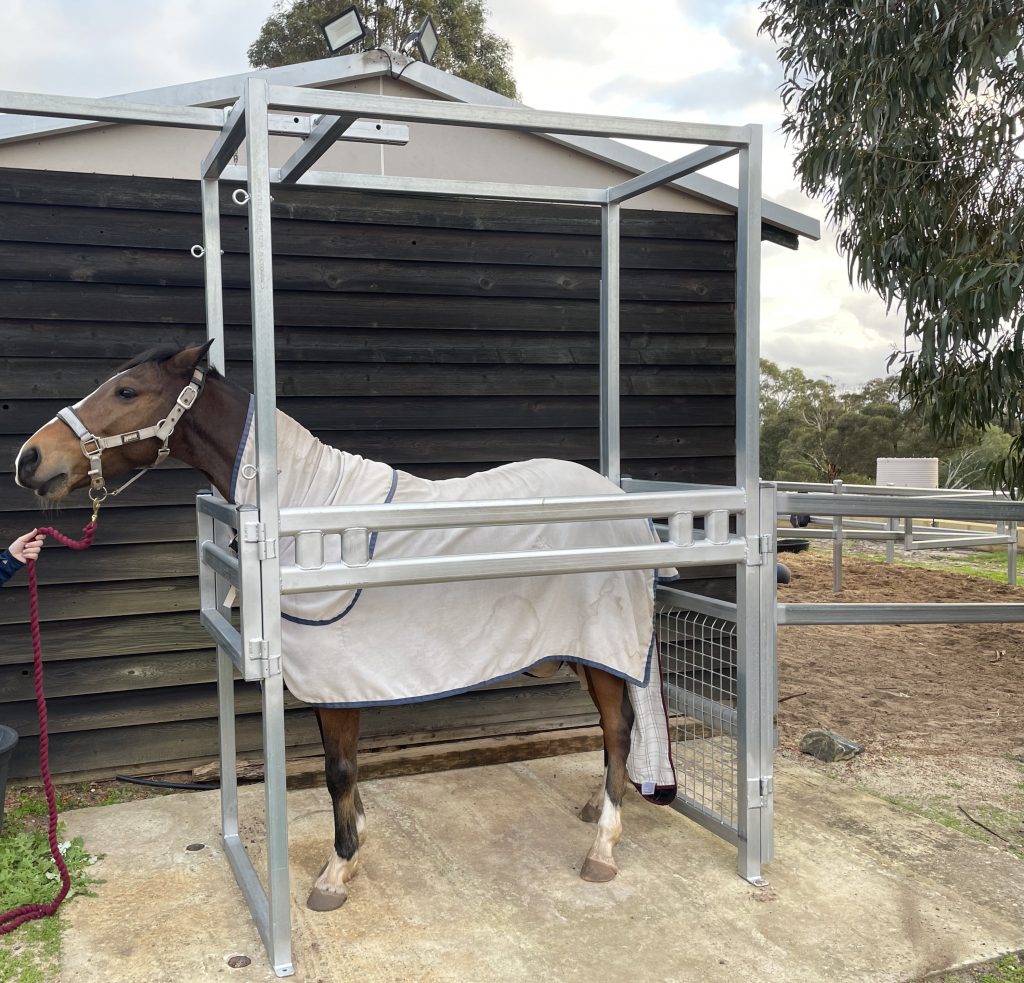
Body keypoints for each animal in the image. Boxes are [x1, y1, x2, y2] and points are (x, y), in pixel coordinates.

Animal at [14, 341, 676, 911]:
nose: (29, 459)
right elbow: (343, 772)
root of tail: (623, 504)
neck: (306, 515)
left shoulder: (339, 684)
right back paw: (597, 805)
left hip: (605, 645)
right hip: (587, 651)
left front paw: (337, 870)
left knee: (618, 727)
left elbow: (338, 773)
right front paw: (354, 845)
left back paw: (603, 847)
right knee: (614, 726)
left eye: (126, 391)